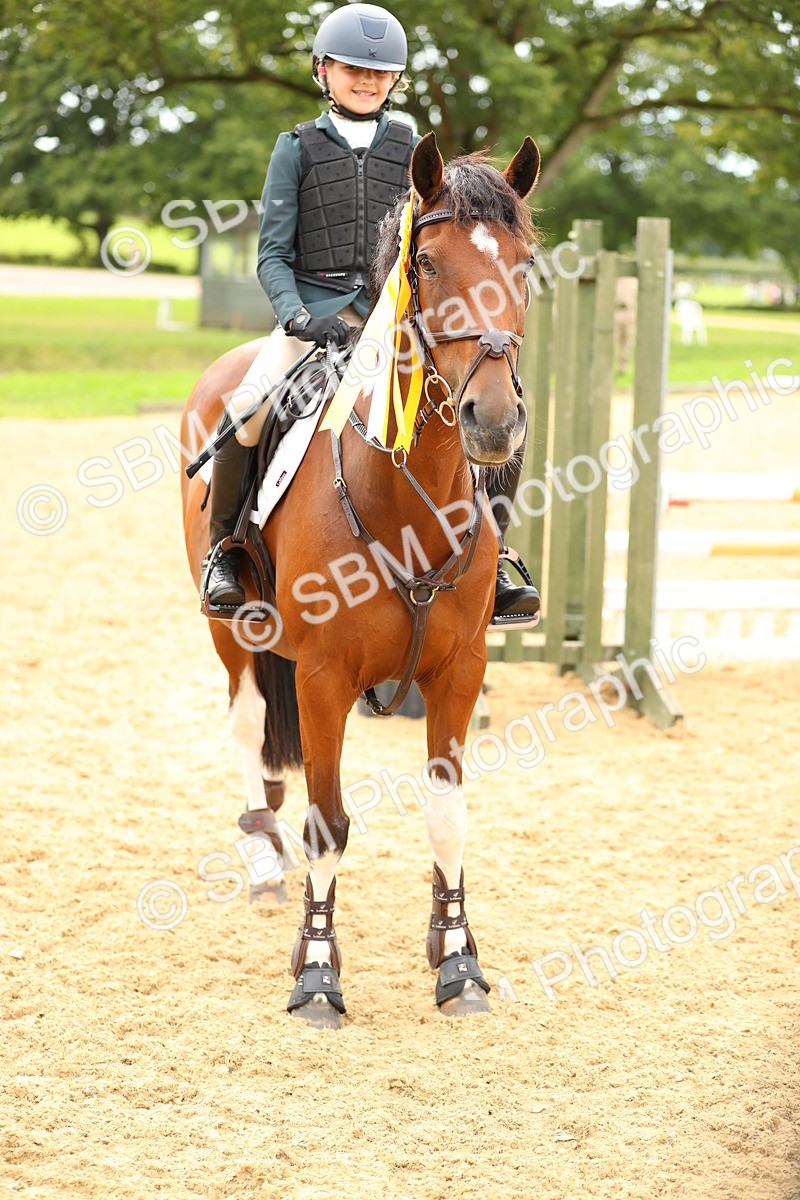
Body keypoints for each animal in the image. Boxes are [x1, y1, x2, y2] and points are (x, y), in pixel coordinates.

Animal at [180, 131, 540, 1028]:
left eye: (524, 264)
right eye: (430, 265)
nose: (493, 421)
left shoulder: (459, 672)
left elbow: (448, 818)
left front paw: (457, 961)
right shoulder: (322, 677)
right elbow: (328, 825)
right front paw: (316, 971)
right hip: (232, 629)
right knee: (249, 726)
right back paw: (262, 859)